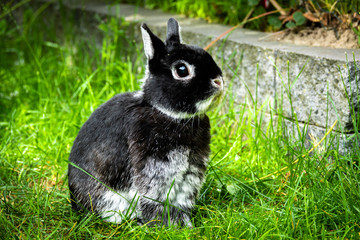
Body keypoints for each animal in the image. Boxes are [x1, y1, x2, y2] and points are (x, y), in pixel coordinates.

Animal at [68, 17, 224, 226]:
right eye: (182, 70)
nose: (219, 81)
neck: (167, 114)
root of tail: (74, 201)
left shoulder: (190, 172)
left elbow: (181, 200)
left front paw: (184, 223)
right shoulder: (155, 168)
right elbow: (155, 199)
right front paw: (164, 224)